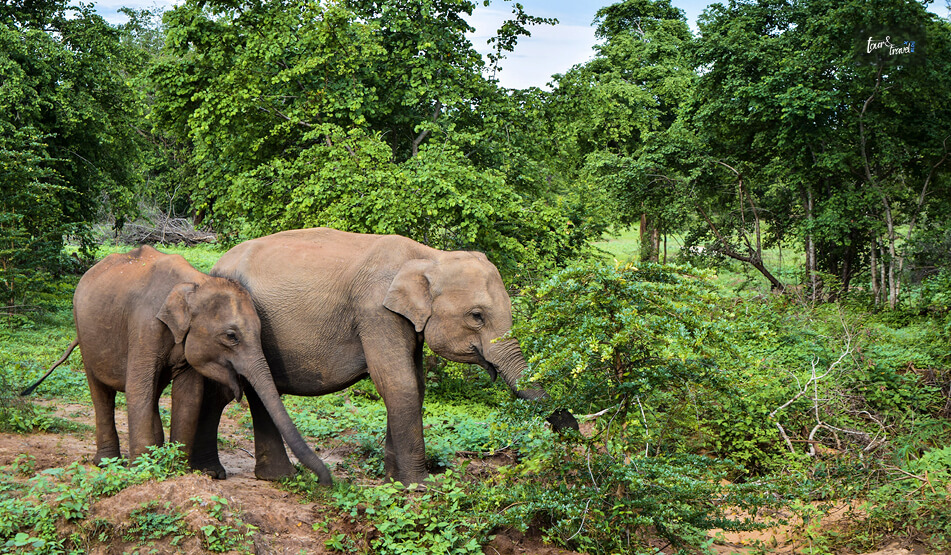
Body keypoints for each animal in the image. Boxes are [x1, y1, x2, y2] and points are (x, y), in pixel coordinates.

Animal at [21, 246, 332, 485]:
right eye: (231, 336)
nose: (325, 481)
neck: (195, 282)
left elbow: (189, 395)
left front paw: (176, 469)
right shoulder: (144, 325)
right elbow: (138, 388)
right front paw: (144, 472)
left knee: (152, 393)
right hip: (85, 334)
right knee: (102, 393)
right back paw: (107, 463)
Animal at [191, 227, 577, 486]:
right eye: (477, 316)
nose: (573, 431)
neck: (428, 255)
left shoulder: (404, 321)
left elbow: (415, 384)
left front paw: (394, 479)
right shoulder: (375, 311)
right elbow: (397, 381)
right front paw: (419, 485)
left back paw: (275, 479)